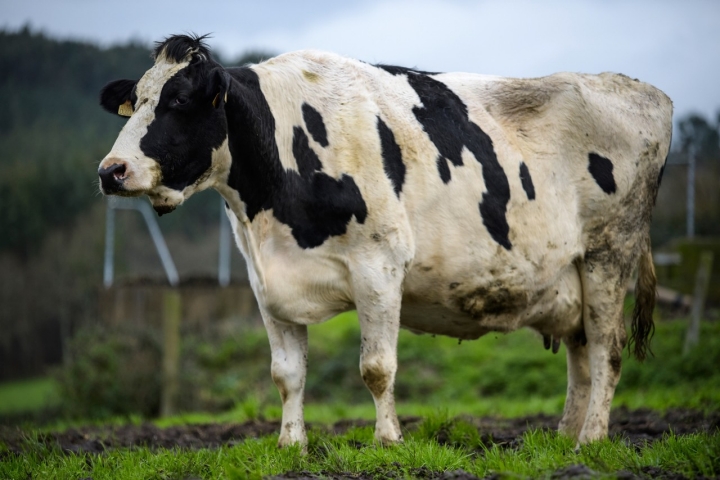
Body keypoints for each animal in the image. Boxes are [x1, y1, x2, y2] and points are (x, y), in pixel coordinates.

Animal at [97, 34, 672, 448]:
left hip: (609, 254)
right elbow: (286, 374)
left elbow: (377, 367)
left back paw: (591, 441)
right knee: (581, 353)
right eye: (137, 101)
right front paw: (291, 445)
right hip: (570, 275)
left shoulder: (379, 264)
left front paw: (388, 439)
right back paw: (563, 437)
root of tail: (645, 91)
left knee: (606, 348)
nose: (111, 171)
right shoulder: (266, 283)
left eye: (178, 100)